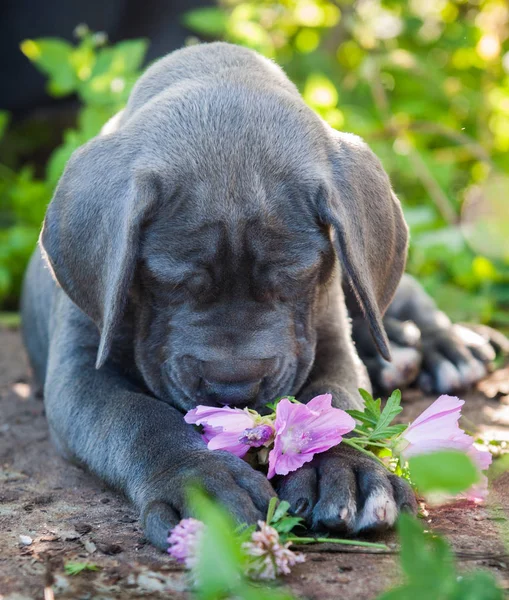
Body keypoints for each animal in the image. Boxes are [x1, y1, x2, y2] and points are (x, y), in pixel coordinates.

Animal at [21, 41, 494, 548]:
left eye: (294, 275)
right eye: (169, 280)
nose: (234, 389)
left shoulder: (330, 338)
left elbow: (333, 402)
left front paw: (347, 468)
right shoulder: (77, 374)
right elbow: (137, 418)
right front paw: (202, 481)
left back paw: (445, 347)